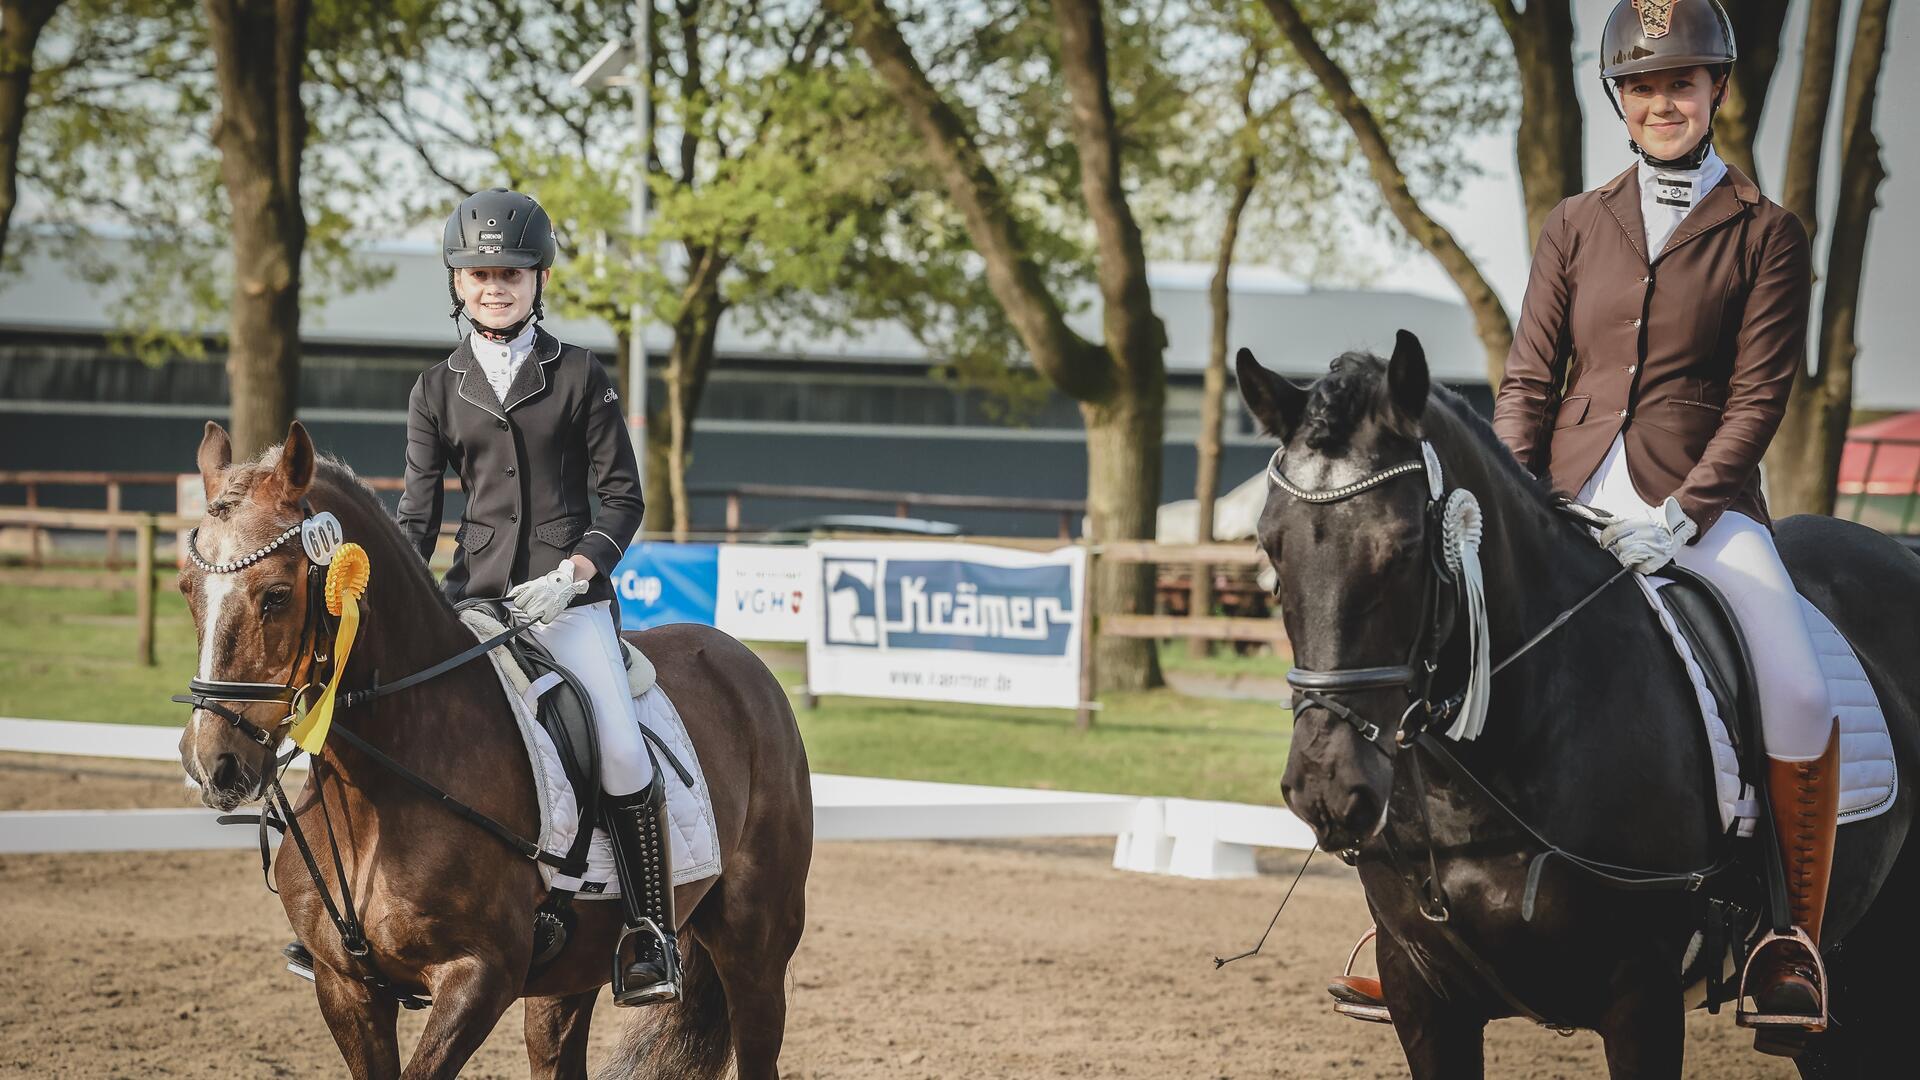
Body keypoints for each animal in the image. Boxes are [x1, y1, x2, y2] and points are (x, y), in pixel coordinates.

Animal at [176, 420, 814, 1076]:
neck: (386, 787)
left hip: (756, 949)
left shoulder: (479, 977)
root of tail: (742, 662)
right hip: (571, 976)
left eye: (276, 595)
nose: (212, 764)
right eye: (188, 589)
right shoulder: (345, 985)